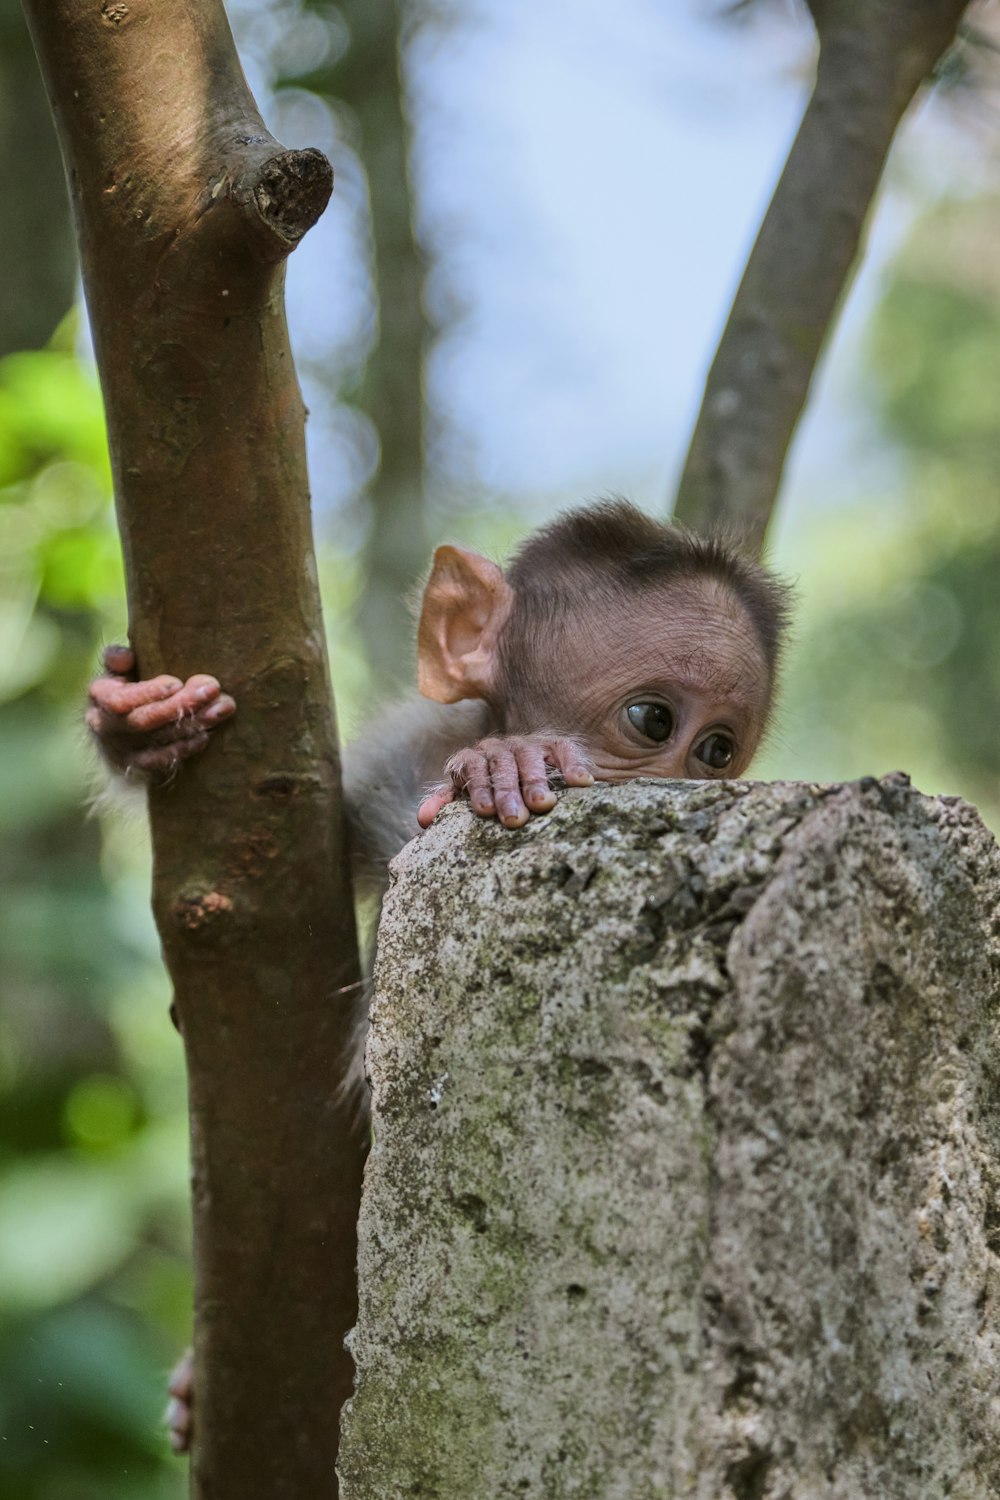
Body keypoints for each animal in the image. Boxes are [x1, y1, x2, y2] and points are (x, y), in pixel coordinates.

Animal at [88, 501, 791, 858]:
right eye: (653, 721)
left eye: (717, 751)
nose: (682, 785)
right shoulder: (412, 739)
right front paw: (136, 724)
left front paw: (502, 760)